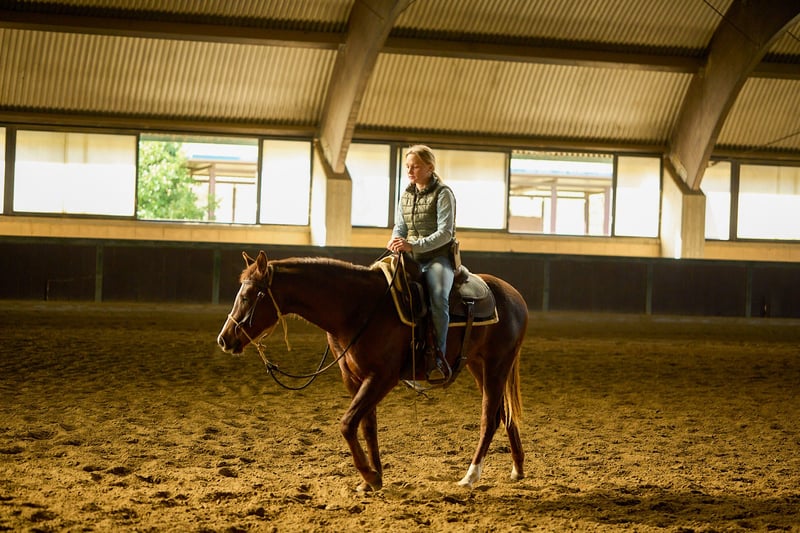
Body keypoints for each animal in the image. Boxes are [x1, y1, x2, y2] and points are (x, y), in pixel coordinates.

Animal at [216, 250, 528, 491]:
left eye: (248, 296)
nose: (224, 339)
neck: (357, 308)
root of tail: (514, 296)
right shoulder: (354, 379)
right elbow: (367, 426)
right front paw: (373, 478)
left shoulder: (382, 378)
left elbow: (347, 424)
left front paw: (369, 475)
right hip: (478, 365)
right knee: (503, 414)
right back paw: (518, 469)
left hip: (497, 364)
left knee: (489, 418)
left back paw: (470, 476)